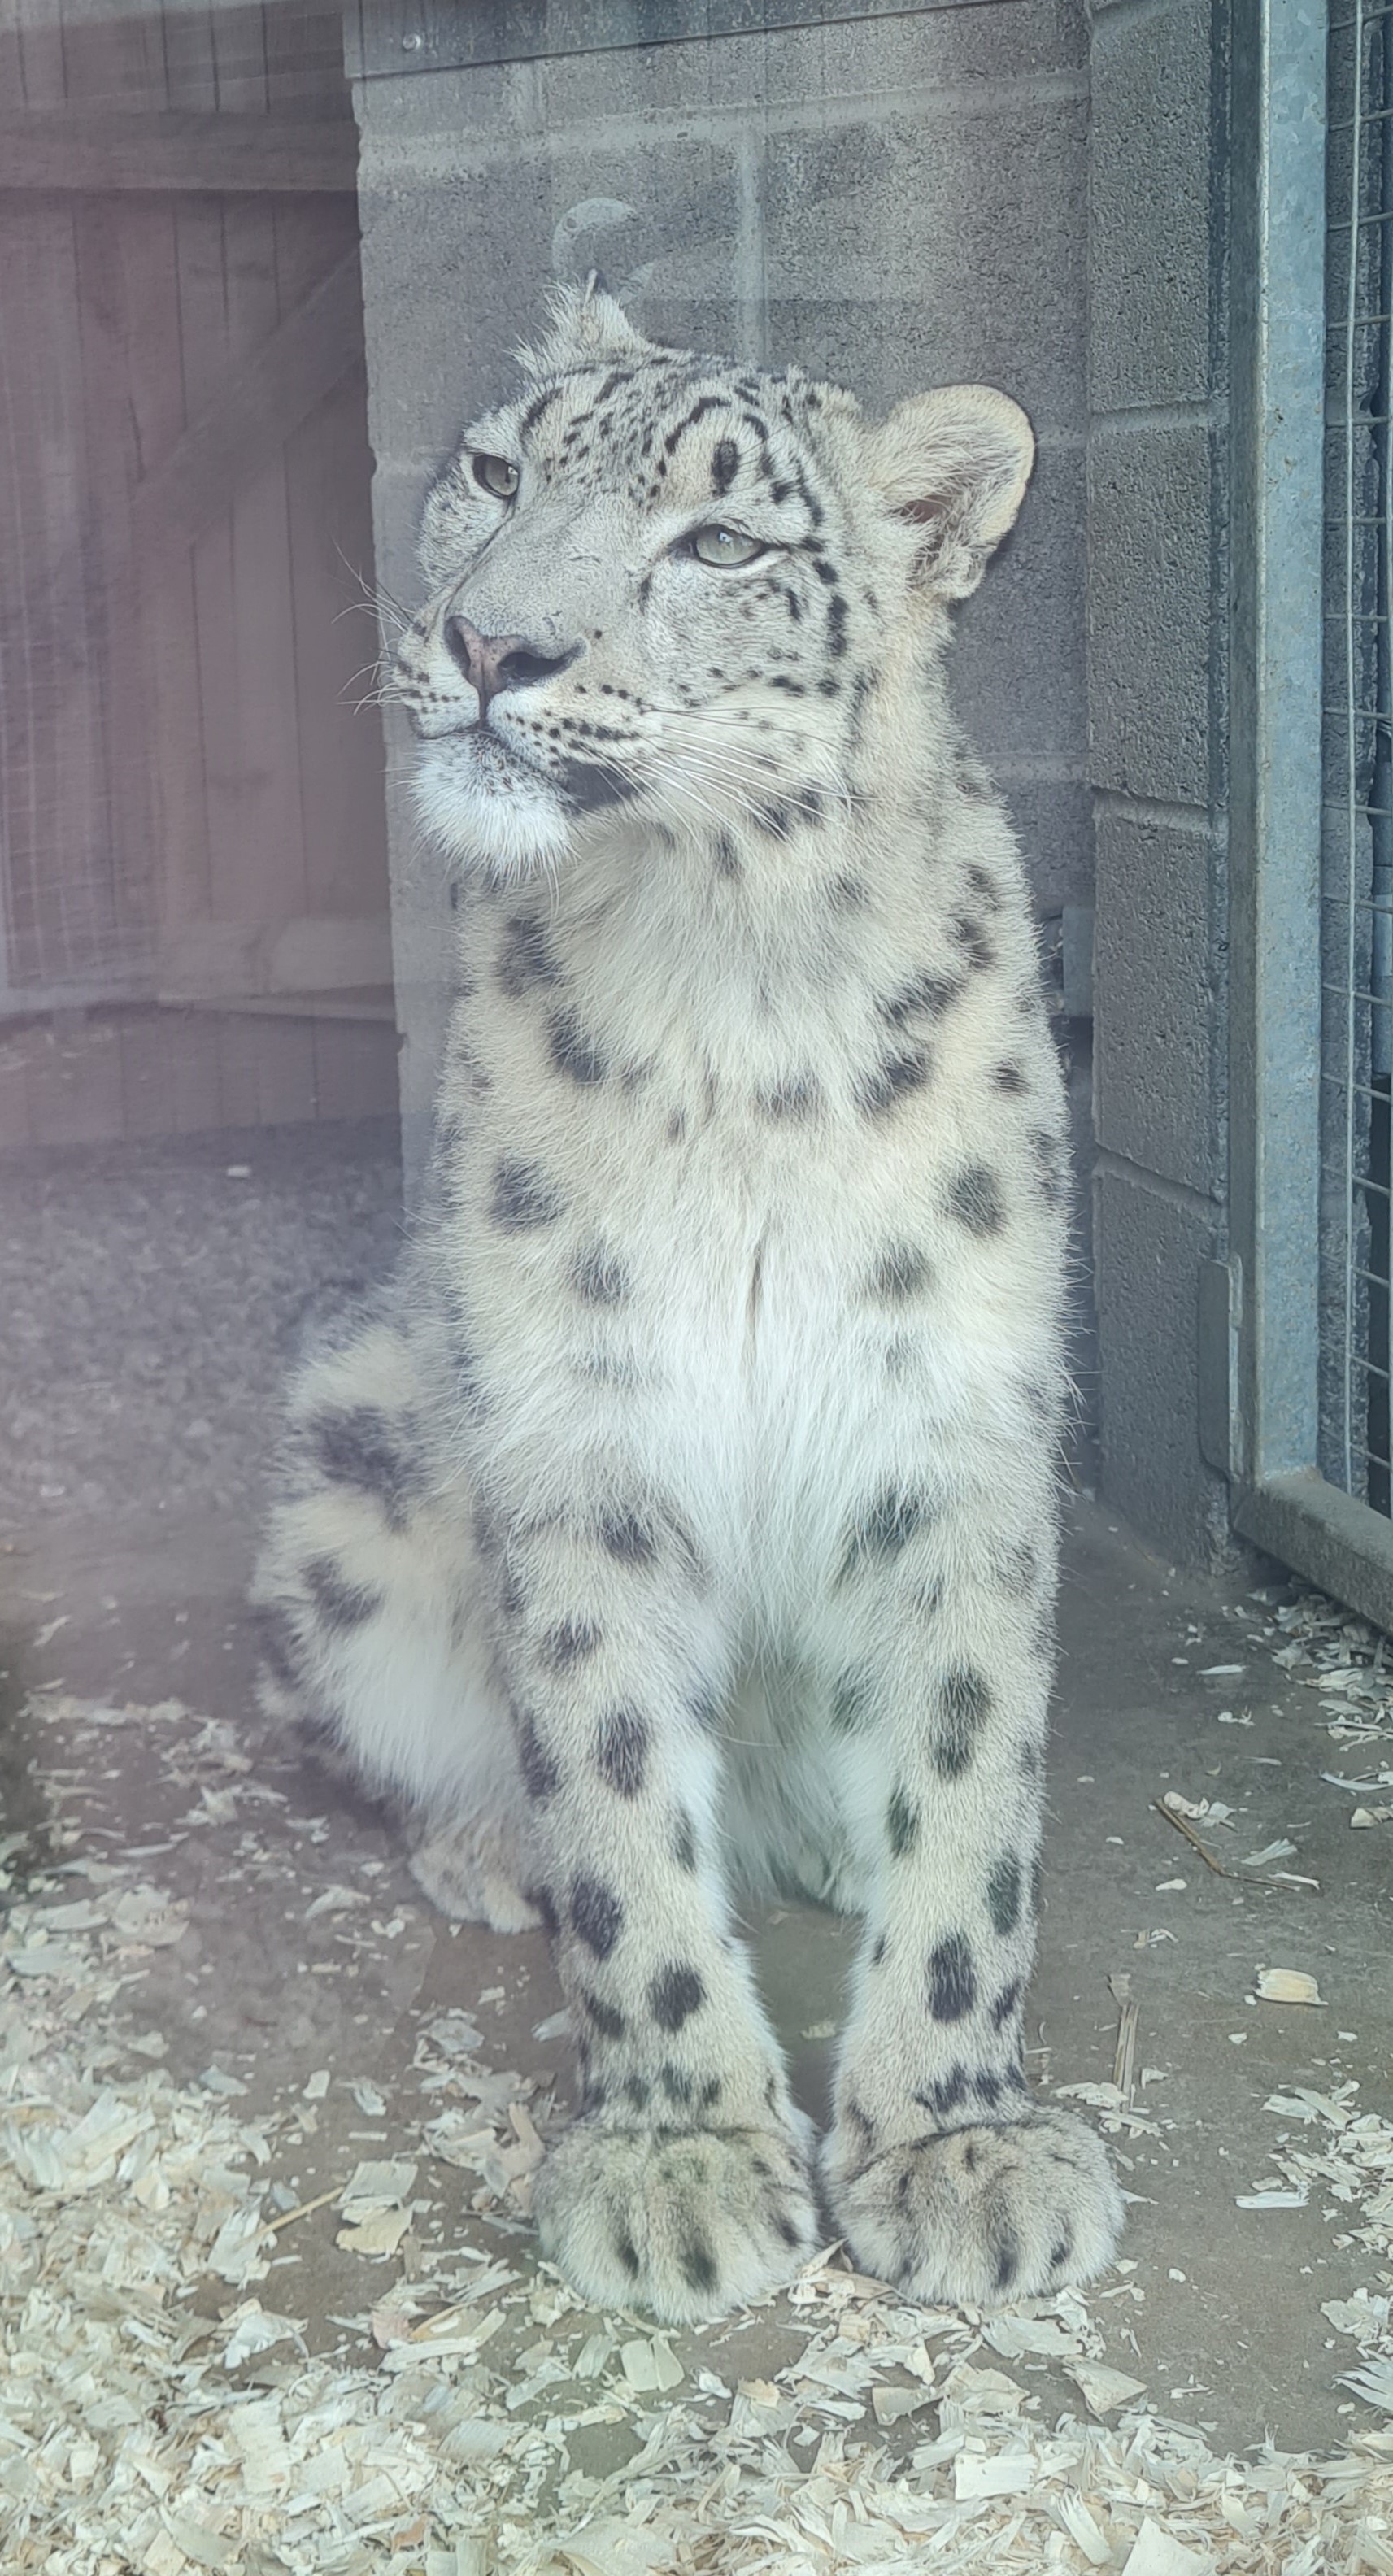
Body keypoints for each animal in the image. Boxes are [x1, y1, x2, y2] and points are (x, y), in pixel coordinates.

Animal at [252, 280, 1123, 2327]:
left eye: (720, 543)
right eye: (496, 472)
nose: (489, 639)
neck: (731, 977)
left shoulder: (952, 1409)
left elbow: (971, 1773)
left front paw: (954, 2138)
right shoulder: (578, 1424)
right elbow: (614, 1780)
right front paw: (679, 2154)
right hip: (353, 1435)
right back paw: (484, 1840)